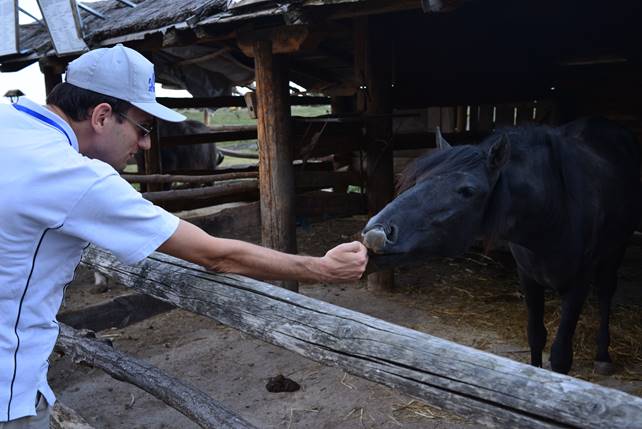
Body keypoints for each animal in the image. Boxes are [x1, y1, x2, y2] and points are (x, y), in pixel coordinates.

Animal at [362, 118, 641, 375]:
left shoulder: (578, 284)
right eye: (419, 179)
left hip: (615, 251)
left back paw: (603, 356)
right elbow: (536, 336)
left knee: (606, 291)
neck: (556, 209)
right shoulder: (528, 277)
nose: (377, 231)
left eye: (468, 190)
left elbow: (561, 355)